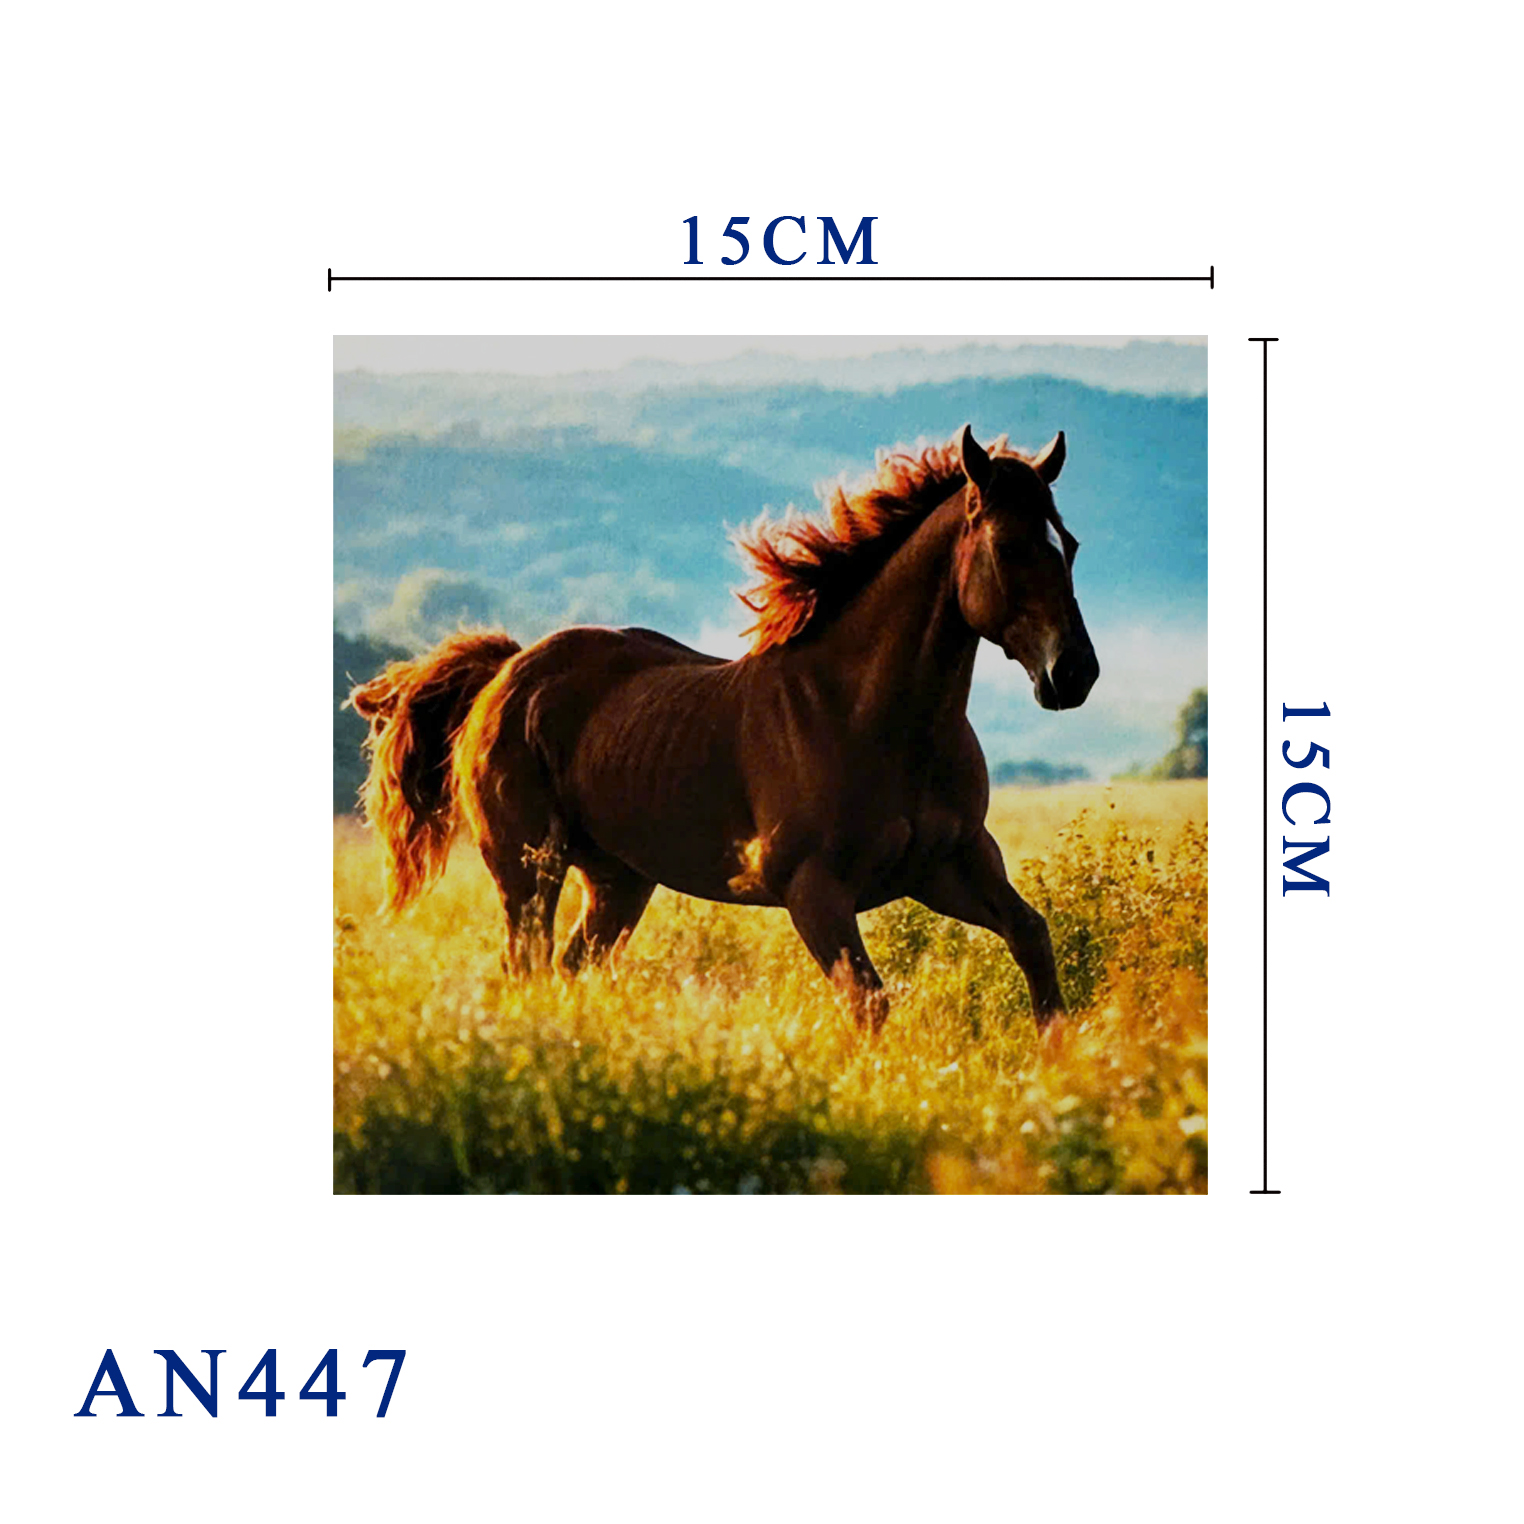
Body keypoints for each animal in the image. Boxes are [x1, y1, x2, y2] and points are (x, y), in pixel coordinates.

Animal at [349, 424, 1099, 1031]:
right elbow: (869, 1002)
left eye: (1069, 544)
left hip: (618, 881)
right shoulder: (814, 892)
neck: (872, 718)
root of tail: (505, 674)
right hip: (528, 870)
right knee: (525, 967)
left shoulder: (952, 864)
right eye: (1008, 546)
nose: (1074, 674)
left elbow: (1033, 940)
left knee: (568, 967)